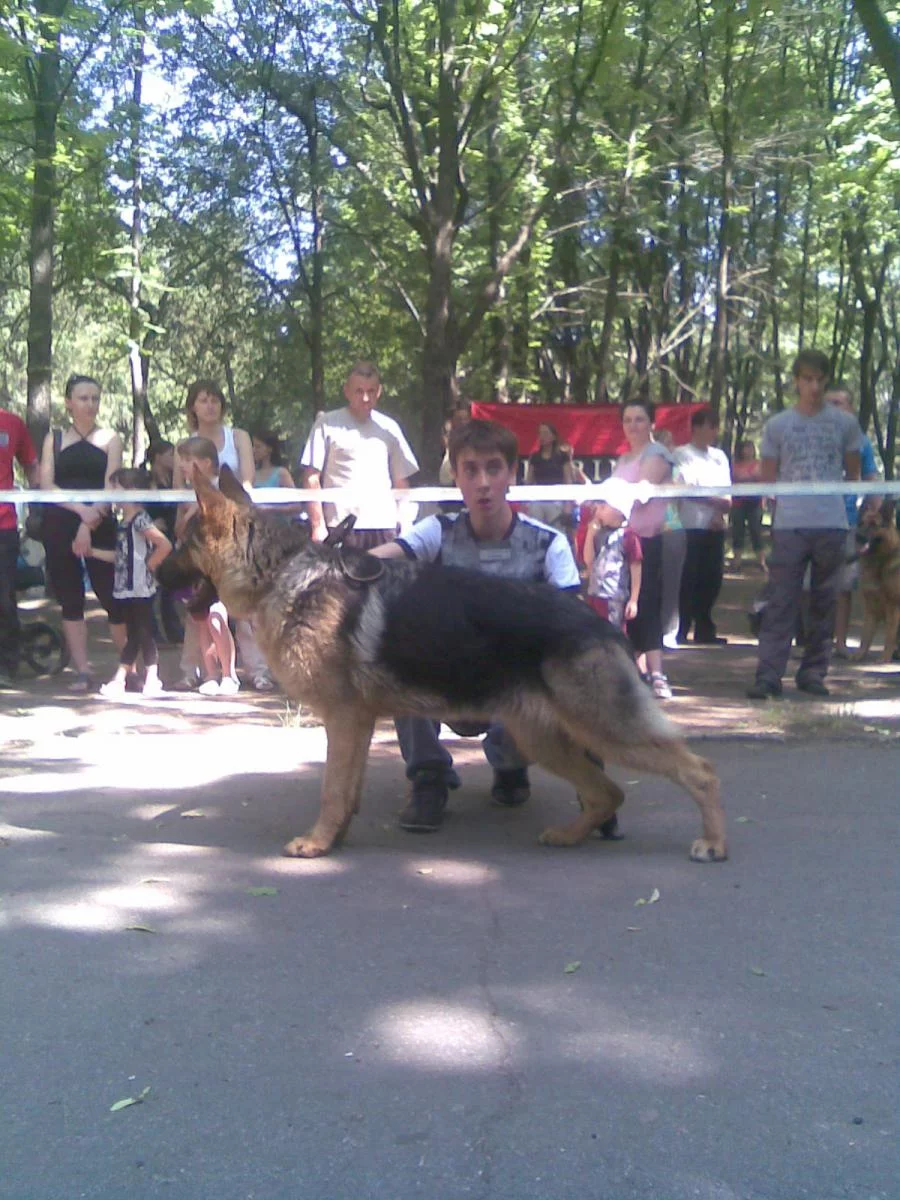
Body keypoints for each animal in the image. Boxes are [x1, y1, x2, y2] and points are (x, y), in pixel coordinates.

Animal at [158, 467, 727, 863]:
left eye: (182, 544)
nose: (157, 571)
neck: (284, 574)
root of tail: (602, 624)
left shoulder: (344, 718)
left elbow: (331, 789)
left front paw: (317, 844)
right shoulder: (357, 723)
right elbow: (347, 790)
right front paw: (336, 839)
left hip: (605, 729)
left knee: (698, 771)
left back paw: (713, 843)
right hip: (544, 739)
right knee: (607, 792)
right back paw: (569, 835)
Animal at [854, 502, 900, 663]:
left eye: (874, 525)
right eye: (861, 523)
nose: (858, 537)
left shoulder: (893, 607)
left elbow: (889, 636)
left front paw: (884, 657)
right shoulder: (870, 607)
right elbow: (865, 636)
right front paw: (860, 654)